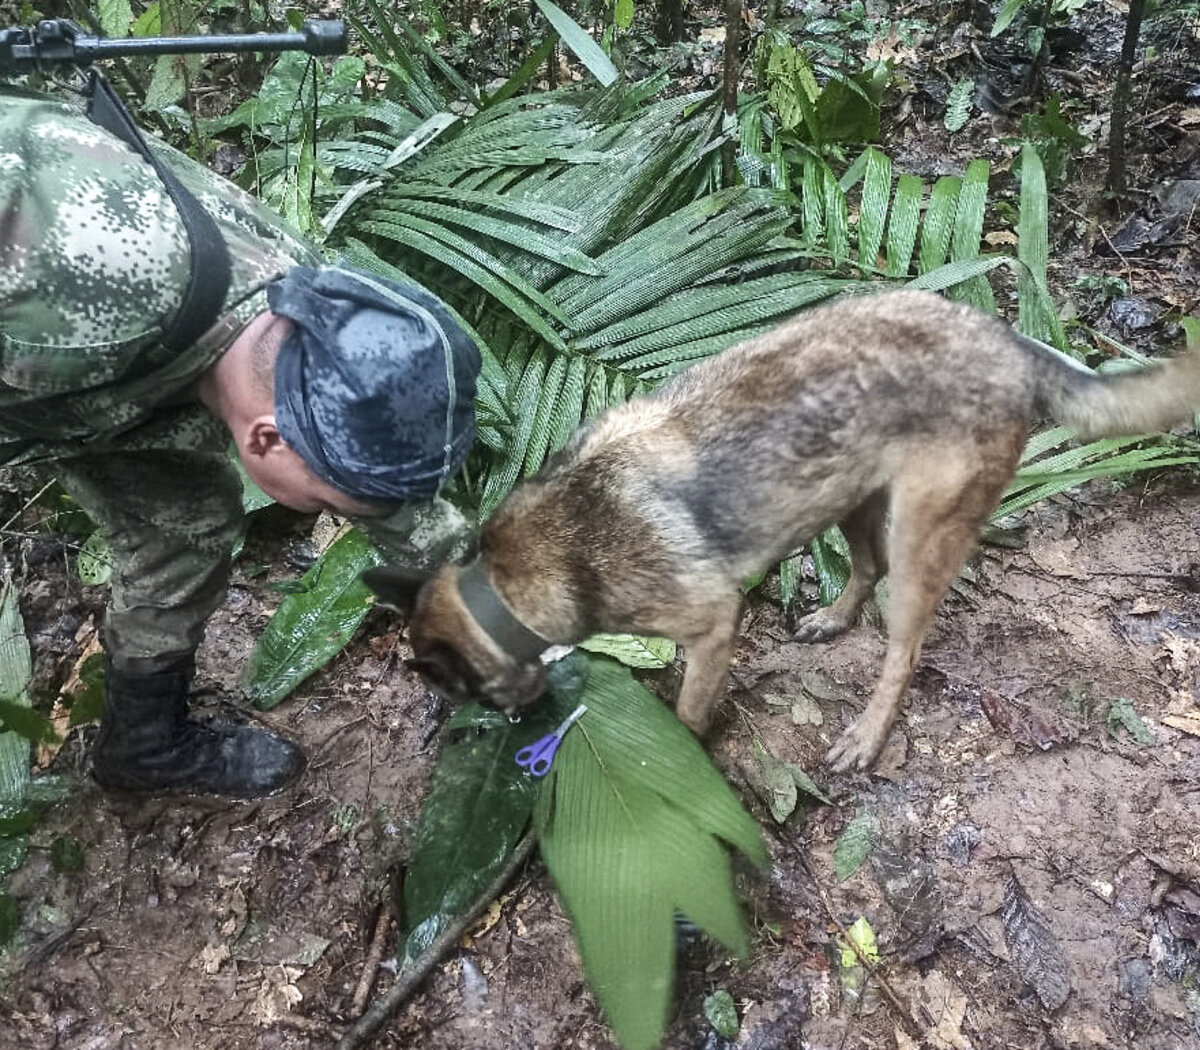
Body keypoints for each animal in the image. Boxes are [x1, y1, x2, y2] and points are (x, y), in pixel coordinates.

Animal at [364, 288, 1200, 772]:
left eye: (456, 688)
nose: (507, 724)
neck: (510, 579)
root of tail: (1012, 343)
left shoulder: (710, 627)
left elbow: (689, 711)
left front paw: (685, 756)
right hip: (849, 497)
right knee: (863, 569)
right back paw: (832, 620)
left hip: (919, 536)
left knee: (903, 648)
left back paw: (868, 734)